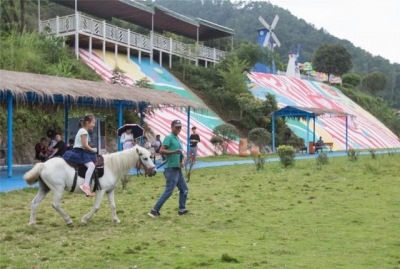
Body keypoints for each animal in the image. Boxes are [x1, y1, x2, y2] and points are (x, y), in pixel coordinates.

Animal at [22, 144, 155, 224]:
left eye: (150, 156)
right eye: (145, 158)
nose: (153, 171)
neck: (111, 166)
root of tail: (43, 165)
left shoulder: (110, 191)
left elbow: (113, 206)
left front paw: (116, 219)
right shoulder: (101, 191)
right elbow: (96, 207)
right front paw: (85, 219)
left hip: (44, 189)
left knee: (34, 203)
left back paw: (32, 222)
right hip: (57, 189)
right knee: (55, 204)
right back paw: (68, 220)